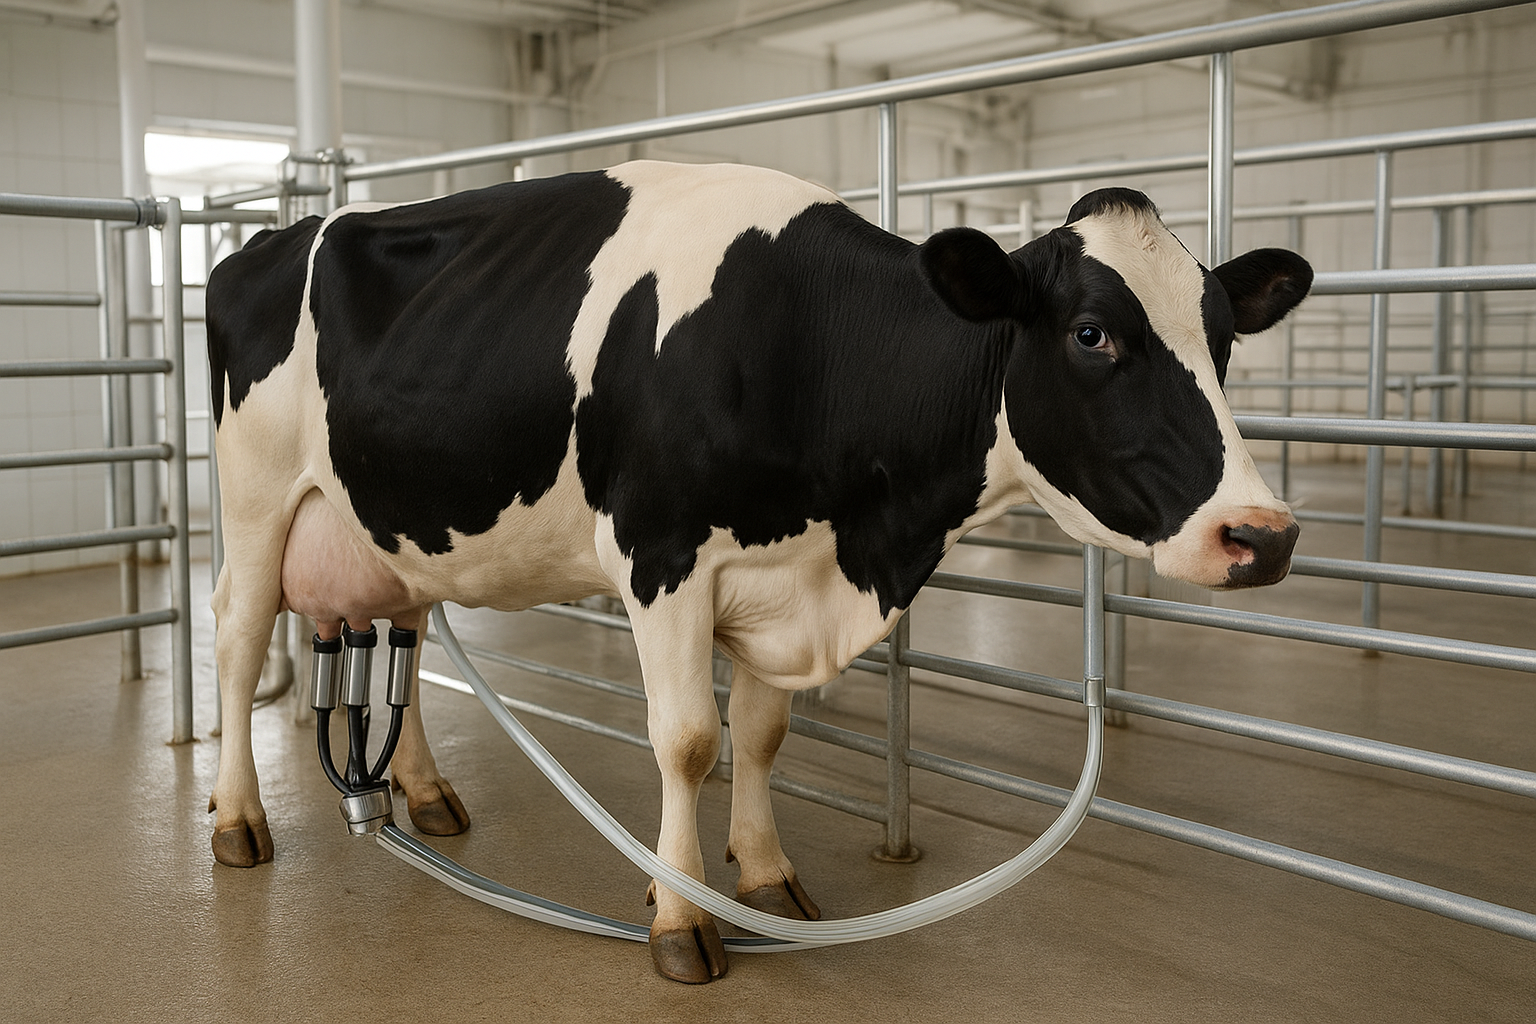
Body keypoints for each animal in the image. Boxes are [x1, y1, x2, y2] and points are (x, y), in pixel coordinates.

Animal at [204, 160, 1309, 984]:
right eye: (1091, 333)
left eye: (1221, 339)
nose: (1264, 535)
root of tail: (270, 238)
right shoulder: (662, 556)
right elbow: (690, 740)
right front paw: (680, 918)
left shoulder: (781, 573)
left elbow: (766, 733)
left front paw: (767, 877)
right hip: (255, 504)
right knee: (237, 636)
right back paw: (237, 821)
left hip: (395, 516)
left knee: (412, 627)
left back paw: (426, 794)